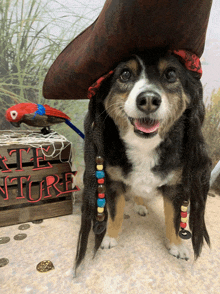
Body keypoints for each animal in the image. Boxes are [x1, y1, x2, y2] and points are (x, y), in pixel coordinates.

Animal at [74, 48, 211, 272]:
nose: (148, 99)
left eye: (171, 74)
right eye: (125, 74)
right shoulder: (113, 182)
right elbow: (115, 213)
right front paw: (109, 237)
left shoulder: (174, 187)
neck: (144, 147)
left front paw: (176, 245)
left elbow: (173, 219)